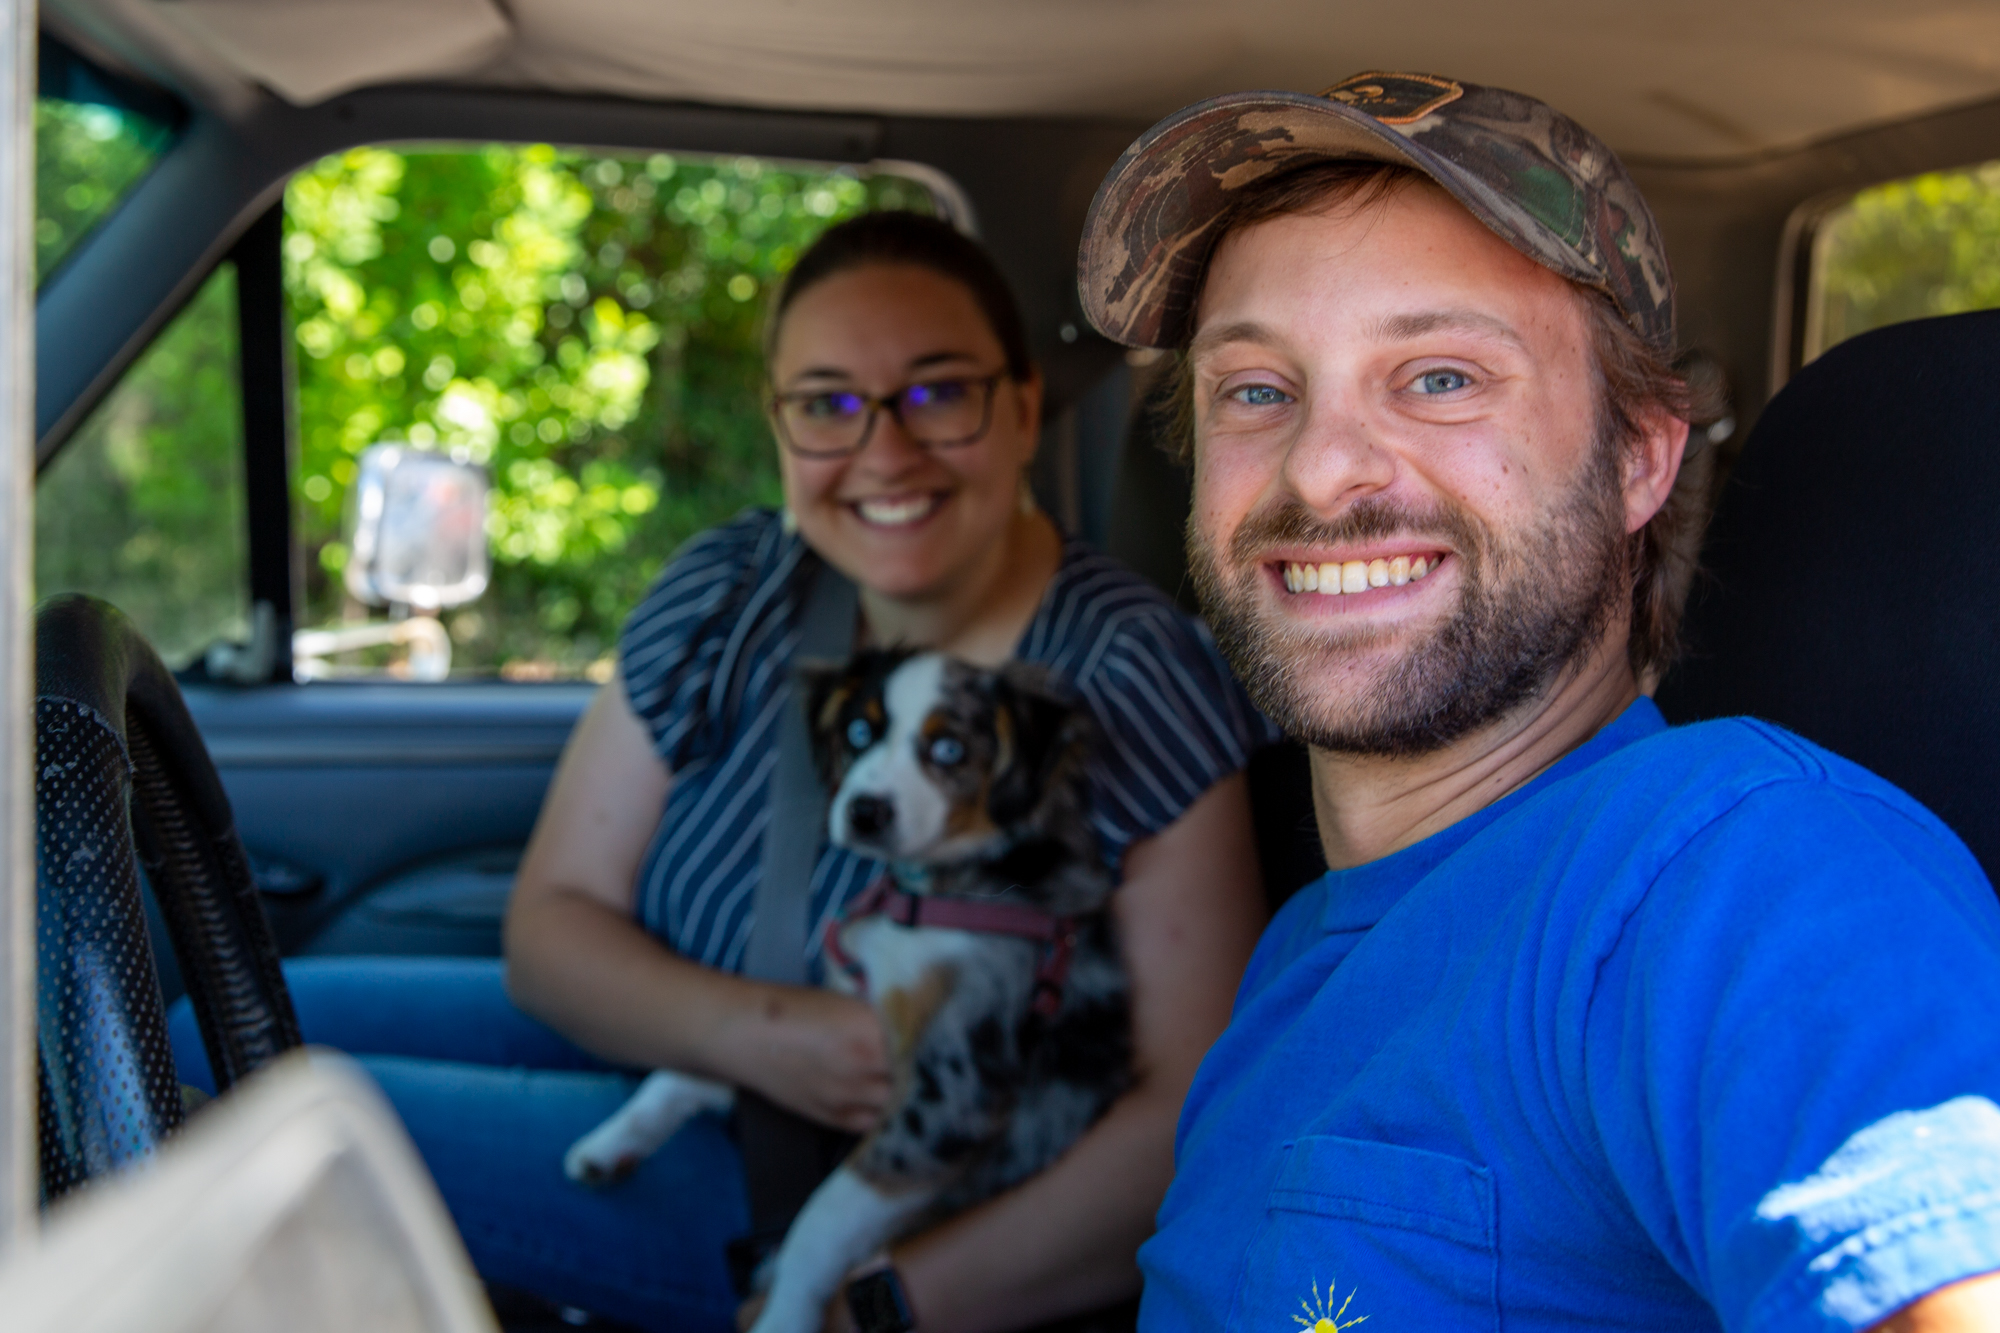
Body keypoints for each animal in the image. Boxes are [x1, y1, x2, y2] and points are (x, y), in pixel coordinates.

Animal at [562, 649, 1132, 1333]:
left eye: (948, 749)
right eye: (859, 732)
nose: (865, 812)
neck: (940, 892)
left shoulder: (951, 1091)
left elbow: (822, 1218)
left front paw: (783, 1314)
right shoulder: (844, 1016)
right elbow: (696, 1072)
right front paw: (611, 1142)